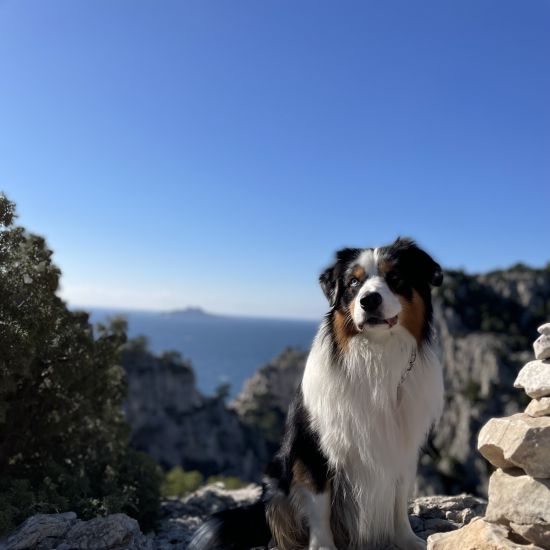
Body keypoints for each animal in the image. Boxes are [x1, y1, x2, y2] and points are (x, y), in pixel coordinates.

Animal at [190, 238, 444, 550]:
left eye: (395, 277)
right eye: (353, 282)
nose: (368, 300)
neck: (376, 357)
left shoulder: (403, 447)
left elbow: (398, 501)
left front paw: (407, 539)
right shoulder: (313, 447)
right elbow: (319, 503)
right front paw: (323, 546)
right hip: (276, 476)